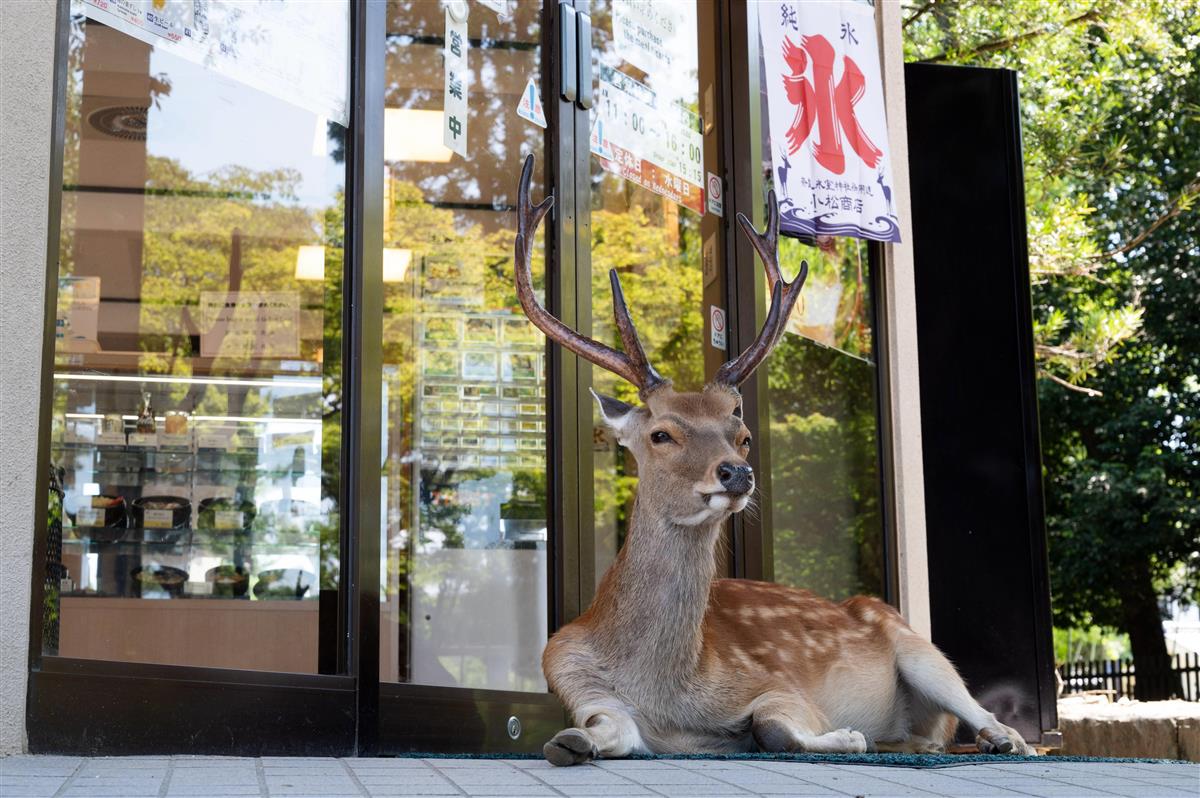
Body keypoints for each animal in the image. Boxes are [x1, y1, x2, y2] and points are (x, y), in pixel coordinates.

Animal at [508, 156, 1032, 768]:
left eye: (743, 435)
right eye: (661, 434)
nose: (736, 472)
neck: (664, 689)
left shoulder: (779, 685)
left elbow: (771, 726)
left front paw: (846, 737)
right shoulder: (572, 676)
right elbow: (602, 728)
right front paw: (571, 741)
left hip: (920, 648)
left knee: (981, 712)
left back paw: (1002, 739)